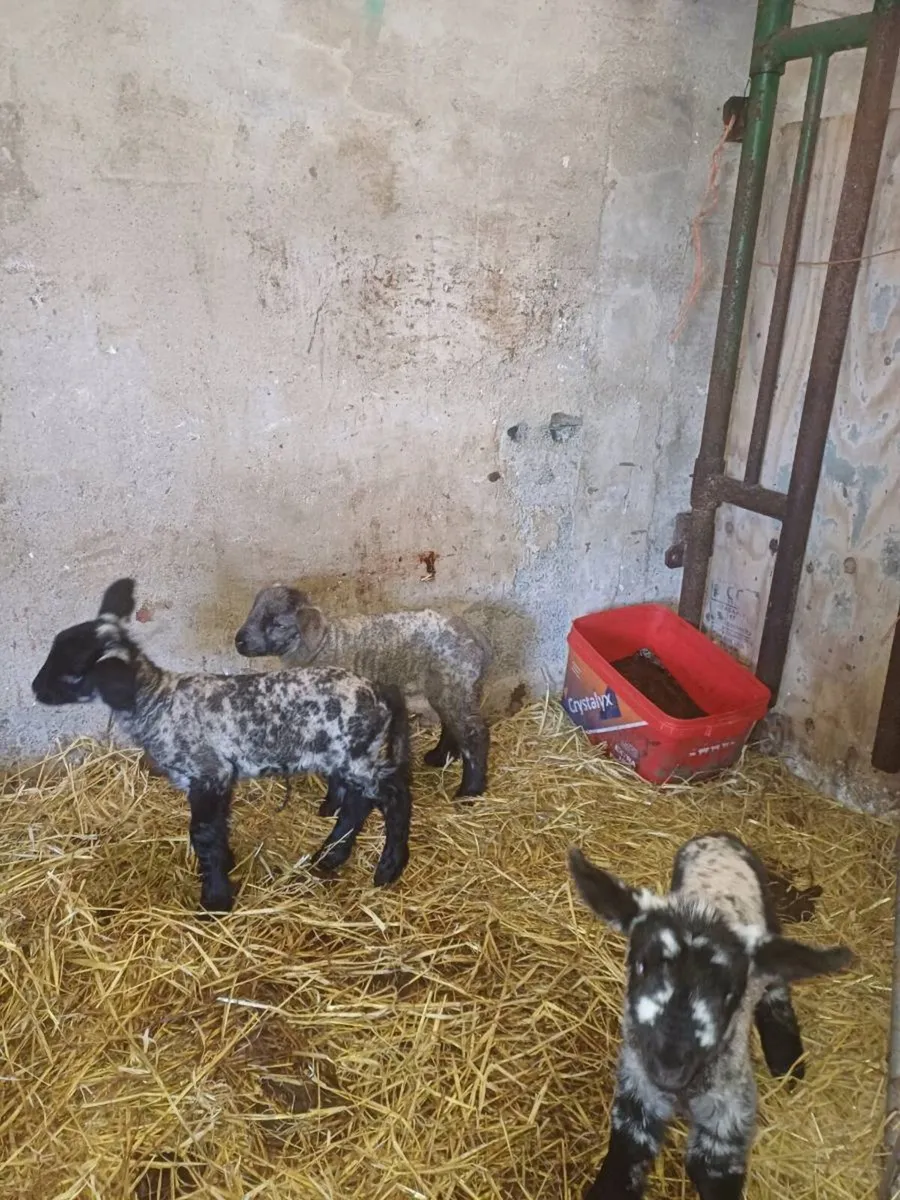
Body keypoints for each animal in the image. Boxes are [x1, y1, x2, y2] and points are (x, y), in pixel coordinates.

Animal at [31, 578, 413, 914]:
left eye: (72, 672)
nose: (36, 689)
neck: (157, 700)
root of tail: (381, 691)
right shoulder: (219, 775)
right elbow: (217, 828)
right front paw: (226, 868)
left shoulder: (208, 773)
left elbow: (203, 835)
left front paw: (215, 900)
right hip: (348, 757)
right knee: (358, 804)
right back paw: (331, 856)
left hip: (356, 756)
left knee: (394, 798)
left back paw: (389, 867)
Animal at [234, 584, 492, 801]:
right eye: (253, 613)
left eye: (278, 624)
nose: (239, 641)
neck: (322, 646)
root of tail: (474, 635)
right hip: (446, 686)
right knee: (452, 725)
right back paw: (439, 758)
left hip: (454, 684)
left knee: (474, 735)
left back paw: (469, 791)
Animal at [567, 833, 854, 1200]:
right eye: (641, 965)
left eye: (729, 992)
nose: (669, 1066)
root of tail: (719, 836)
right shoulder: (636, 1092)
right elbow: (625, 1159)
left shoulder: (728, 1119)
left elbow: (713, 1172)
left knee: (777, 983)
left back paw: (788, 1063)